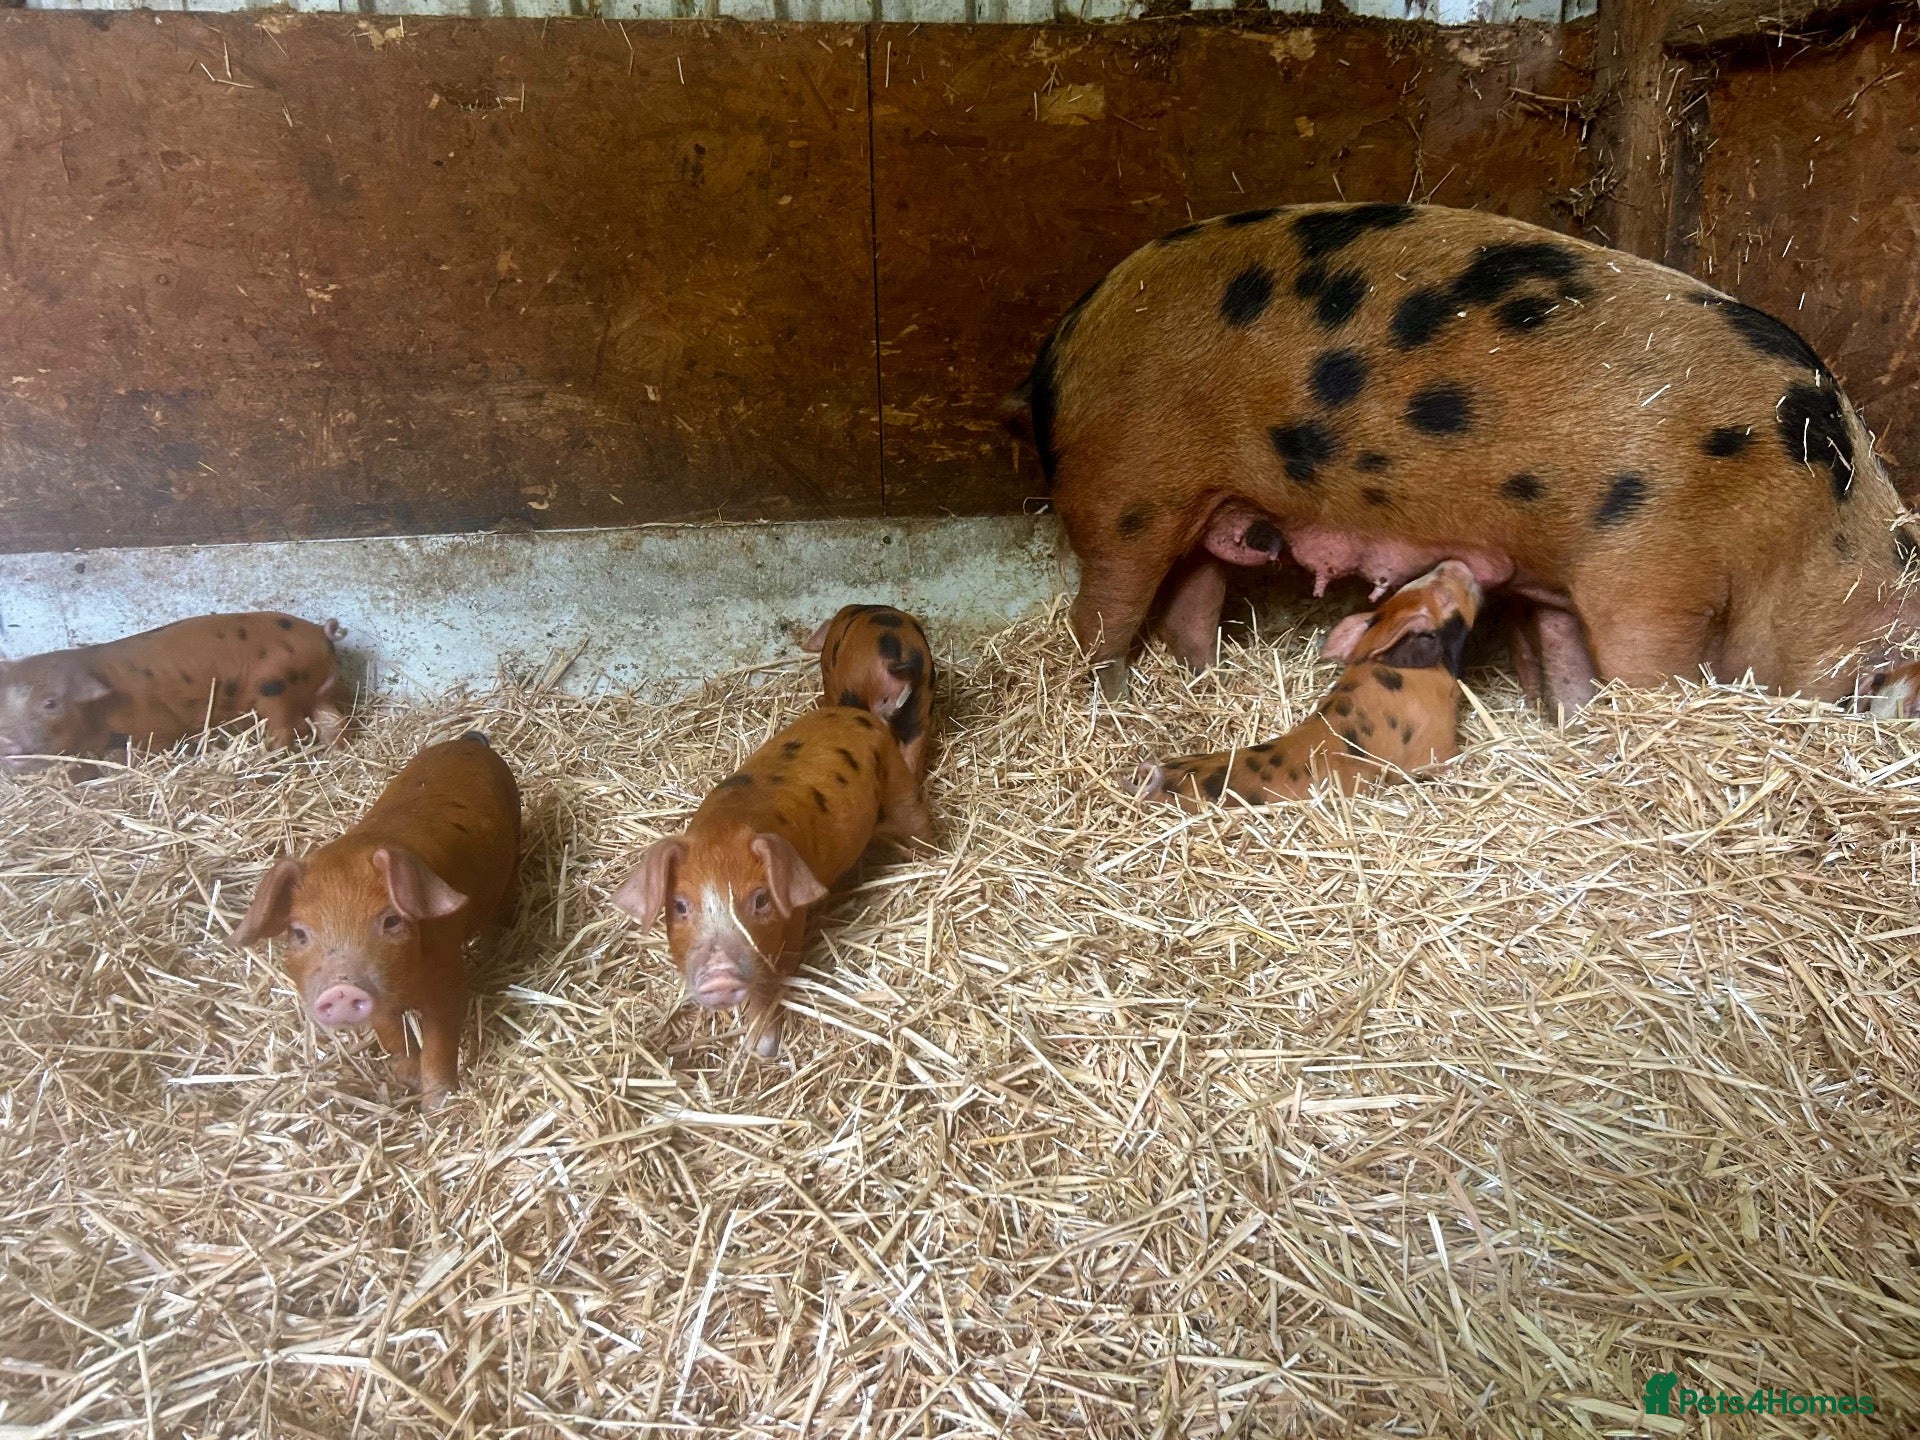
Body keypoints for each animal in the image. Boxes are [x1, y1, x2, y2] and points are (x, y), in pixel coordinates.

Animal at [0, 612, 348, 772]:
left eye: (51, 703)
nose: (5, 739)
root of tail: (322, 634)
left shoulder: (153, 726)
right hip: (317, 693)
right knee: (332, 721)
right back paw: (335, 753)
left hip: (276, 692)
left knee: (288, 730)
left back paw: (269, 759)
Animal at [228, 732, 520, 1109]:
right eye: (299, 933)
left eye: (391, 921)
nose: (341, 988)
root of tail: (466, 741)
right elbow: (392, 1034)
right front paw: (408, 1081)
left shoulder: (447, 975)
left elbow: (440, 1041)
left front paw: (437, 1103)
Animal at [611, 705, 932, 1058]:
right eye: (680, 905)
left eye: (761, 899)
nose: (720, 977)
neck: (724, 827)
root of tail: (856, 713)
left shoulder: (793, 923)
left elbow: (773, 979)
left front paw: (760, 1048)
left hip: (897, 779)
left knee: (917, 821)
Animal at [1004, 202, 1920, 715]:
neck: (1805, 527)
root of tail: (1063, 337)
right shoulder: (1650, 568)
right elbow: (1645, 672)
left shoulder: (1564, 579)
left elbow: (1566, 661)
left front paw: (1574, 730)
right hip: (1126, 492)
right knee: (1104, 611)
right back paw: (1106, 704)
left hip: (1213, 505)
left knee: (1193, 596)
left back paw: (1201, 683)